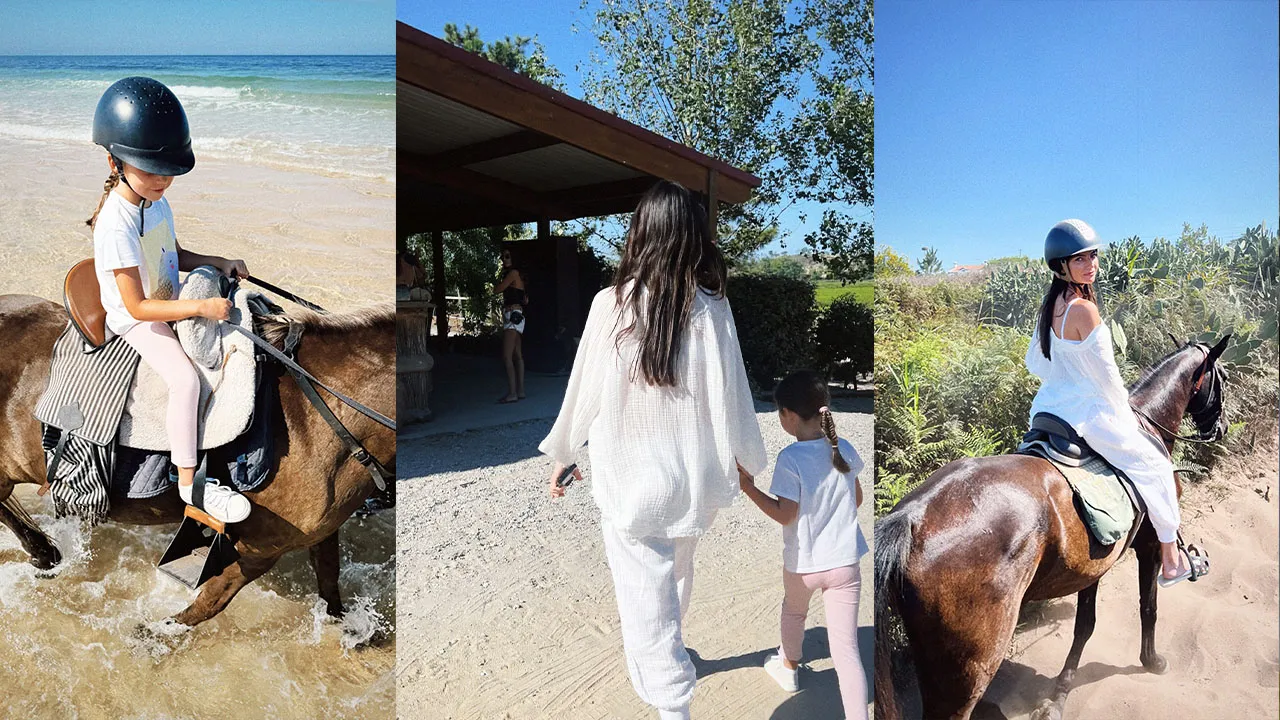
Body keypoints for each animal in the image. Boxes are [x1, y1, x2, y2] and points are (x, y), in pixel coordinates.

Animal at [0, 292, 394, 627]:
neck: (319, 418)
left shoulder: (321, 530)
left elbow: (329, 577)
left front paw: (346, 627)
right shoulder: (260, 547)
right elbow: (210, 603)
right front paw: (156, 634)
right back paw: (44, 553)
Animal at [870, 335, 1228, 717]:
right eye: (1222, 378)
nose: (1221, 428)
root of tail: (912, 517)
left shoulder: (1092, 564)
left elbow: (1085, 626)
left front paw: (1059, 694)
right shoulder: (1149, 547)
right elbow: (1149, 607)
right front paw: (1152, 660)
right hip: (968, 672)